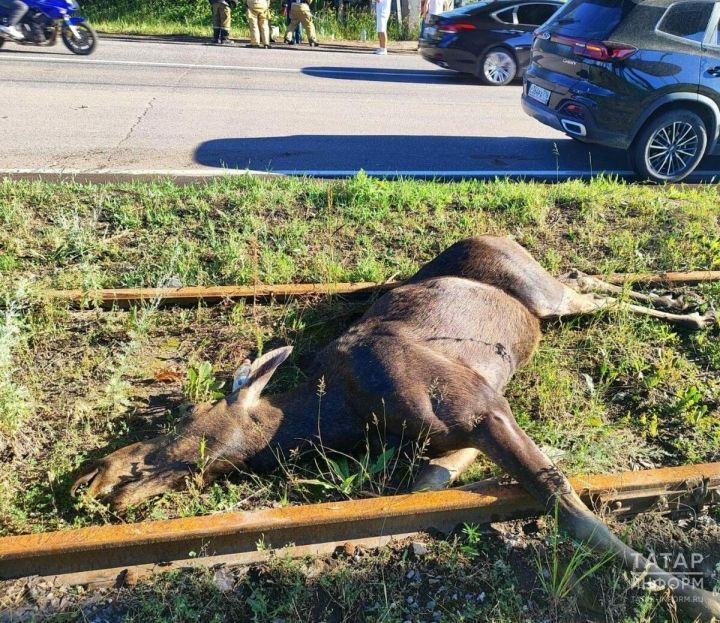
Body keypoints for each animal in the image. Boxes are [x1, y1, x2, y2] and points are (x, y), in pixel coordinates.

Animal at [74, 236, 720, 620]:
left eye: (187, 417)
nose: (92, 478)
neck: (347, 414)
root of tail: (499, 236)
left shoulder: (481, 404)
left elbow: (568, 504)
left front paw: (698, 595)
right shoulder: (465, 423)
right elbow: (428, 482)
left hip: (541, 292)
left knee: (588, 289)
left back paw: (689, 309)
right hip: (543, 301)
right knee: (588, 279)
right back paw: (681, 301)